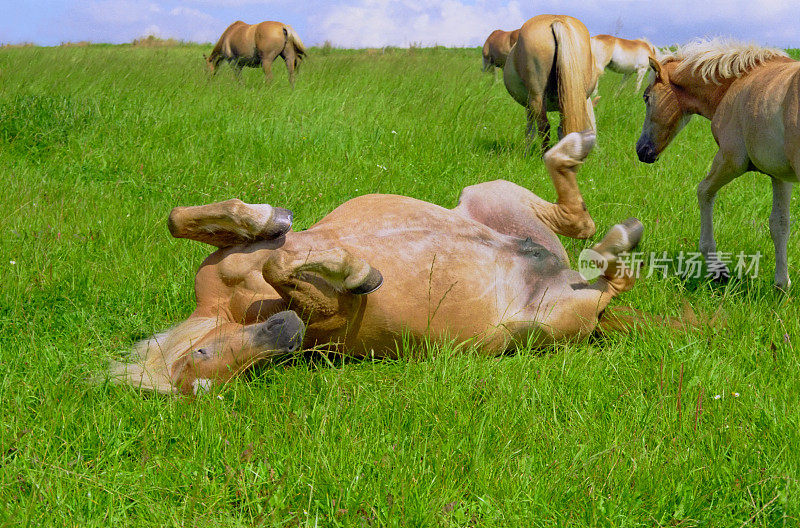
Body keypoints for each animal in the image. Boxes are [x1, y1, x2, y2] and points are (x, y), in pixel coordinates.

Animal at [109, 133, 652, 396]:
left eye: (202, 355)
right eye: (246, 373)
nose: (288, 336)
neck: (230, 306)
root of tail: (561, 275)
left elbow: (185, 220)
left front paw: (269, 219)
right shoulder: (330, 316)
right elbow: (281, 267)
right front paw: (356, 271)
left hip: (491, 194)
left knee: (580, 224)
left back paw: (578, 156)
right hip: (541, 323)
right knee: (608, 271)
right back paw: (614, 242)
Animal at [636, 39, 796, 290]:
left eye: (646, 97)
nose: (642, 151)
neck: (735, 84)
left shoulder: (731, 160)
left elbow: (704, 192)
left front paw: (717, 268)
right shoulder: (780, 175)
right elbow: (779, 224)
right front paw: (781, 284)